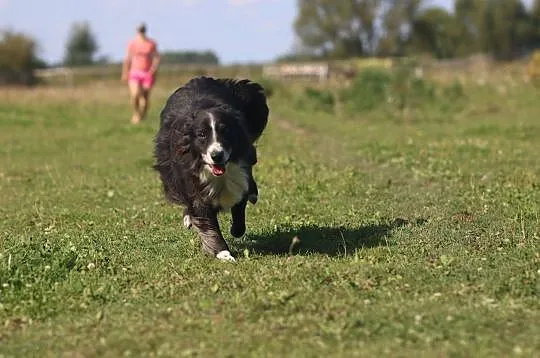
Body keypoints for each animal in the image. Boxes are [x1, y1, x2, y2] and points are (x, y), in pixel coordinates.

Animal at [153, 76, 268, 260]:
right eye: (201, 134)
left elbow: (239, 204)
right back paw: (188, 218)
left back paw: (253, 194)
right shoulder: (193, 182)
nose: (217, 155)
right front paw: (223, 253)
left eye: (225, 132)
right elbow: (206, 220)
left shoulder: (238, 176)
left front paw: (235, 230)